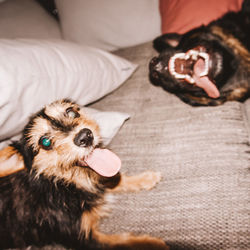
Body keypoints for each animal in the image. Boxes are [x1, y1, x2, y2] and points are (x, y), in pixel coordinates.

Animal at [0, 99, 169, 250]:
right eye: (45, 142)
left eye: (71, 112)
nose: (85, 136)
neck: (60, 184)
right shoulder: (83, 239)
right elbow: (121, 241)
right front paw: (152, 244)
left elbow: (113, 178)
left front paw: (145, 178)